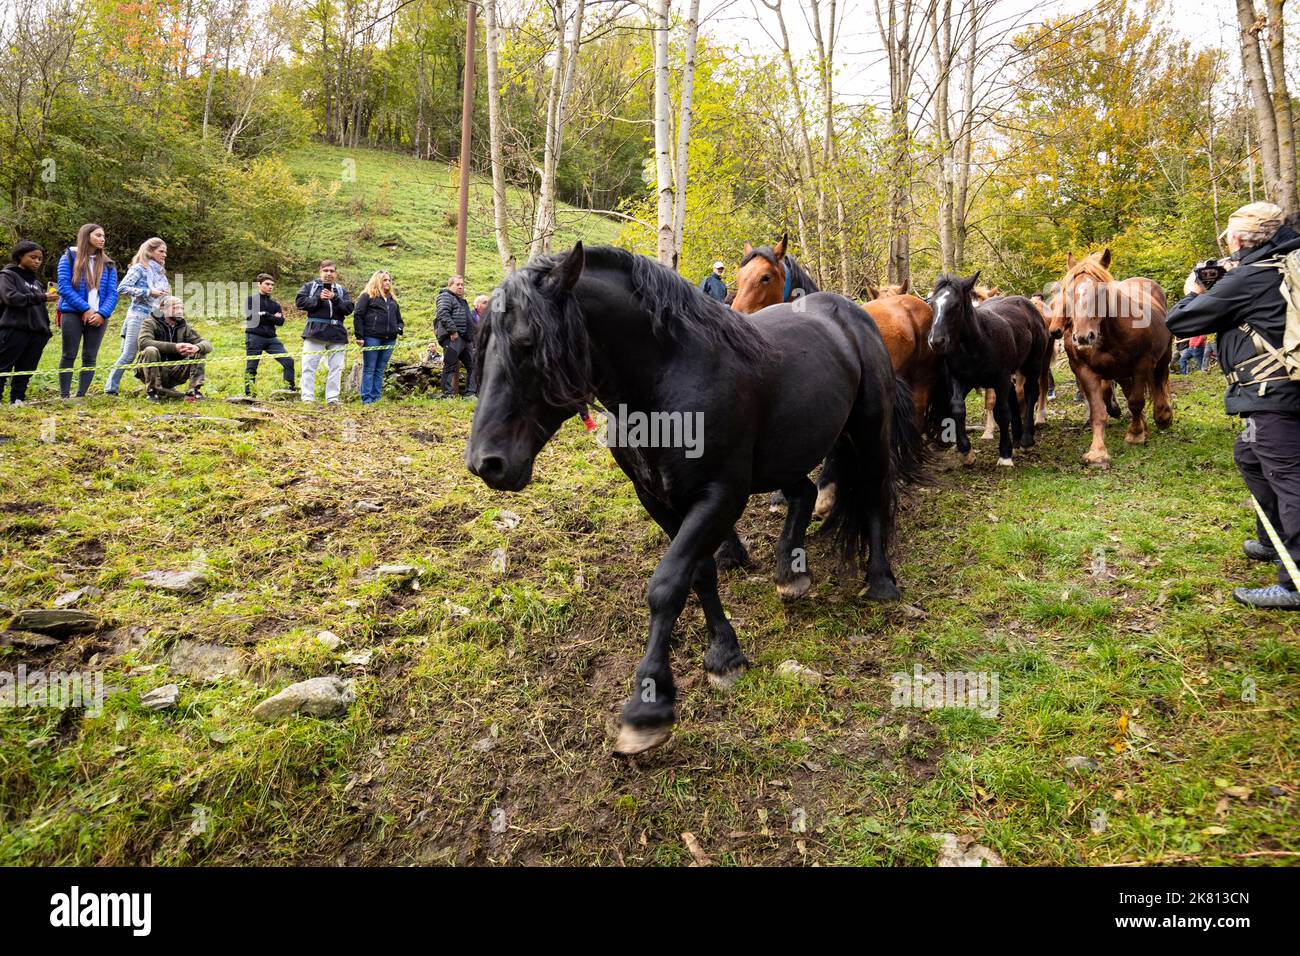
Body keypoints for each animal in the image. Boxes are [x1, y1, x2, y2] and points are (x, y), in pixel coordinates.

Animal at [467, 244, 925, 754]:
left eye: (528, 344)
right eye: (482, 347)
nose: (486, 462)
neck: (669, 381)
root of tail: (855, 311)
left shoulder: (720, 496)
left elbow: (667, 585)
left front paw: (649, 704)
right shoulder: (658, 499)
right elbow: (699, 573)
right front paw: (724, 653)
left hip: (868, 434)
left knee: (873, 499)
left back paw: (880, 581)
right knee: (806, 493)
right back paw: (791, 570)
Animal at [925, 273, 1055, 468]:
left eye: (956, 305)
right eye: (932, 304)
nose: (936, 341)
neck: (975, 345)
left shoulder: (1000, 378)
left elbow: (1001, 412)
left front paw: (1005, 455)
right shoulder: (959, 378)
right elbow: (957, 408)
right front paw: (966, 451)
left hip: (1033, 364)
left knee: (1031, 391)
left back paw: (1026, 440)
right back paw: (1017, 438)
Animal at [1050, 251, 1175, 468]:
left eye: (1101, 292)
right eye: (1069, 292)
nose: (1083, 337)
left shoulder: (1141, 364)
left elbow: (1136, 402)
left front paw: (1135, 435)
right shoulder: (1085, 371)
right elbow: (1098, 411)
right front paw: (1098, 452)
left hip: (1162, 356)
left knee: (1159, 380)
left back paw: (1162, 416)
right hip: (1122, 373)